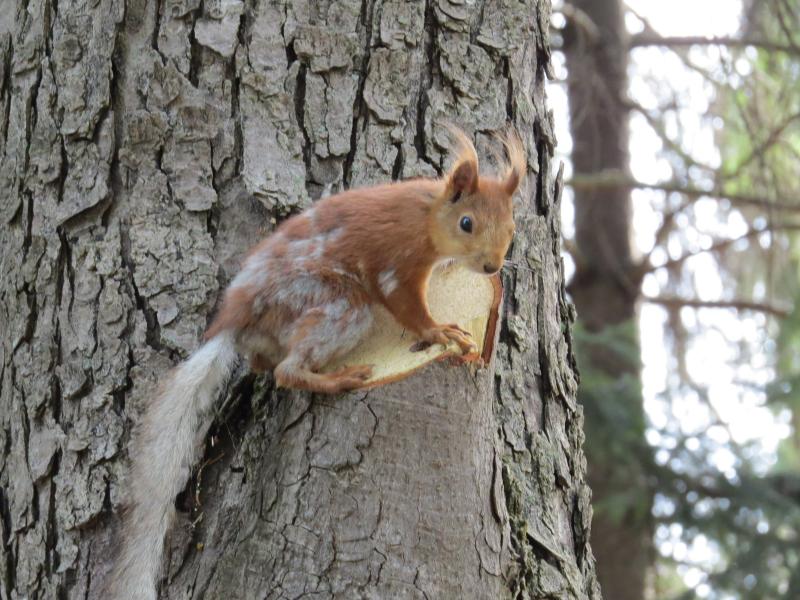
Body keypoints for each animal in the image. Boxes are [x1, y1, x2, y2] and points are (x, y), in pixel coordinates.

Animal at [109, 129, 528, 596]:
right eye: (467, 223)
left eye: (512, 226)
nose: (491, 265)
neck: (426, 214)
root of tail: (234, 322)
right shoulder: (397, 264)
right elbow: (410, 310)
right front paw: (440, 332)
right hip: (339, 304)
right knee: (286, 371)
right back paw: (340, 378)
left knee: (266, 363)